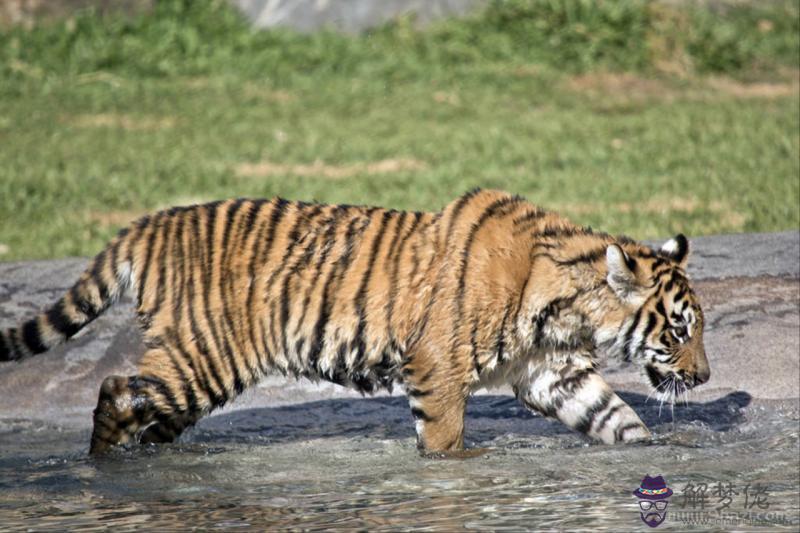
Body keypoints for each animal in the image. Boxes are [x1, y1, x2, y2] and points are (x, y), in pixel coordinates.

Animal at [1, 188, 712, 454]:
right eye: (679, 330)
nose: (705, 377)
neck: (566, 304)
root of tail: (147, 225)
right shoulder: (436, 369)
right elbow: (446, 443)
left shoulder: (554, 374)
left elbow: (616, 419)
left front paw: (653, 457)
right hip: (204, 357)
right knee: (115, 391)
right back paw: (102, 469)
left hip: (195, 375)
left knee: (147, 412)